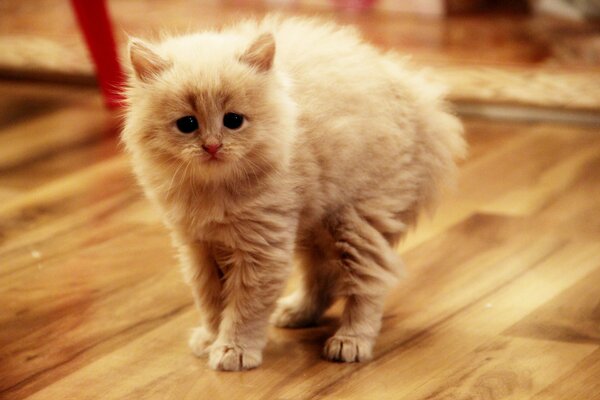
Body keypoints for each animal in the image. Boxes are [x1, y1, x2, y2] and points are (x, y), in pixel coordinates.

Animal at [122, 15, 466, 372]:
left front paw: (234, 349)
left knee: (369, 284)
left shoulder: (262, 248)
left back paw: (351, 341)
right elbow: (210, 300)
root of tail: (416, 99)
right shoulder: (198, 247)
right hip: (315, 222)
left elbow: (244, 307)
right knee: (323, 275)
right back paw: (298, 313)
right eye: (187, 124)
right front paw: (211, 338)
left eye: (233, 120)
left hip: (358, 219)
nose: (213, 146)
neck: (213, 190)